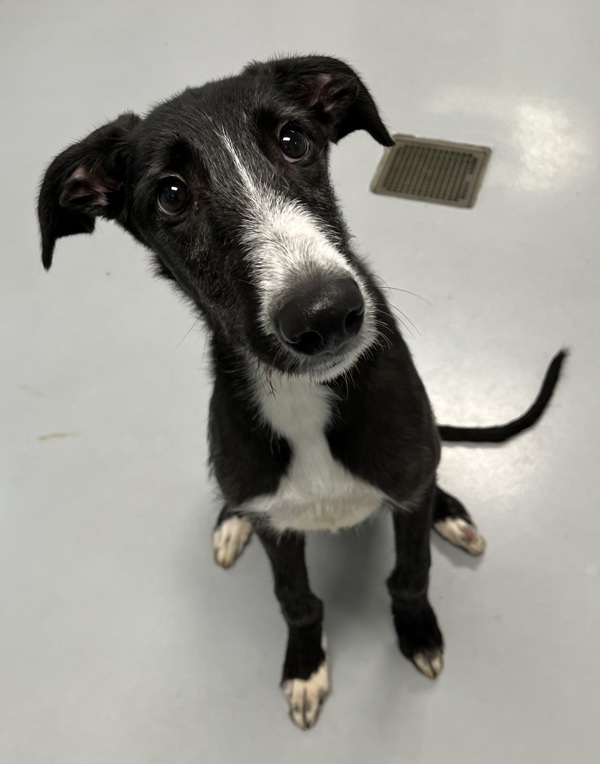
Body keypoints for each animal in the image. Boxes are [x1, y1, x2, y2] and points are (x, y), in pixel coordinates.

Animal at [36, 56, 564, 732]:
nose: (326, 314)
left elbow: (410, 573)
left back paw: (450, 512)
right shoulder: (278, 530)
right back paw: (230, 522)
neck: (304, 398)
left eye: (294, 141)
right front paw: (305, 667)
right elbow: (296, 599)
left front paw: (417, 633)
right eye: (171, 195)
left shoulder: (405, 487)